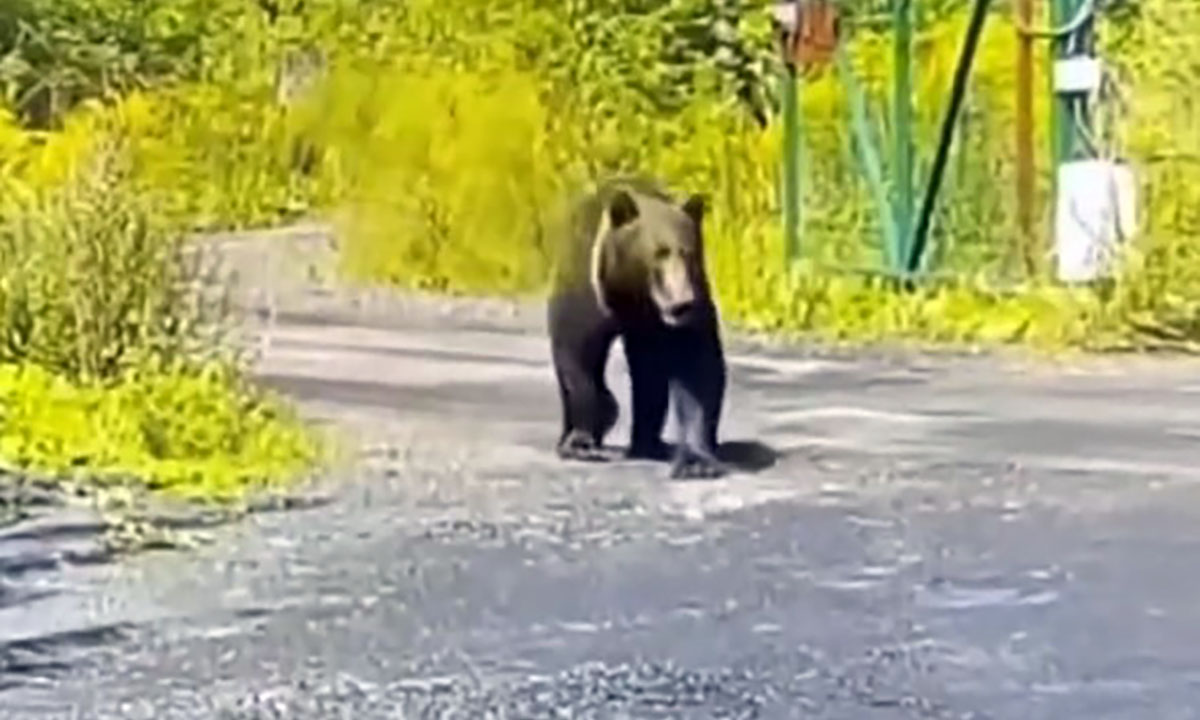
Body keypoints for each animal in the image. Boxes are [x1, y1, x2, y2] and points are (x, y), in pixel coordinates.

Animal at [547, 176, 727, 480]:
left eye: (689, 254)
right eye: (659, 253)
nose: (682, 303)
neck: (633, 293)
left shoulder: (689, 308)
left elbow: (698, 366)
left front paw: (696, 461)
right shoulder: (588, 293)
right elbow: (577, 355)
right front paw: (582, 440)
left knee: (649, 375)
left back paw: (648, 443)